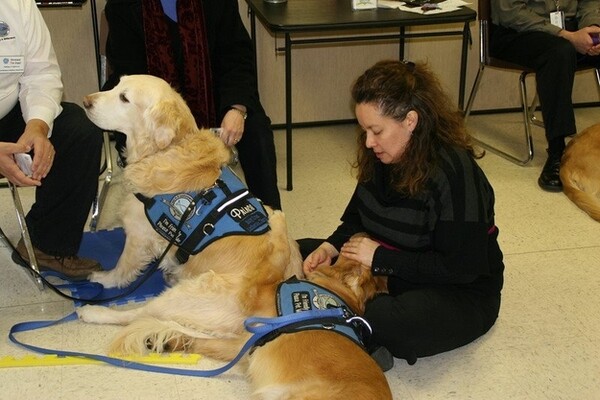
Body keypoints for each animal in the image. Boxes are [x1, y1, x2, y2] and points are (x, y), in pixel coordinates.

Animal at [77, 252, 392, 398]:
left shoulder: (244, 338)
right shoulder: (243, 342)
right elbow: (198, 338)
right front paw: (171, 340)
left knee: (138, 312)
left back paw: (93, 311)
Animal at [82, 75, 302, 288]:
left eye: (124, 98)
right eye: (116, 85)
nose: (85, 101)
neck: (163, 149)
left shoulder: (138, 234)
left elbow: (123, 266)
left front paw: (104, 278)